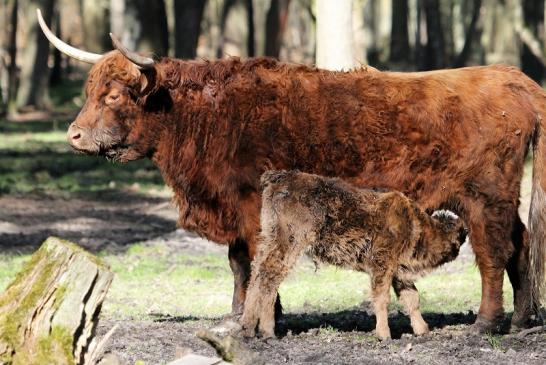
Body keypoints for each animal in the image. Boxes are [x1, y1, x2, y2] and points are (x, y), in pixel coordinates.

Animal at [240, 170, 466, 338]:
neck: (413, 224)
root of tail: (282, 177)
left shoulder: (398, 272)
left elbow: (412, 298)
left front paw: (422, 330)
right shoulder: (382, 265)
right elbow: (382, 298)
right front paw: (384, 334)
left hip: (269, 239)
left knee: (256, 272)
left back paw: (247, 328)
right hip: (289, 244)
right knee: (270, 275)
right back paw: (267, 331)